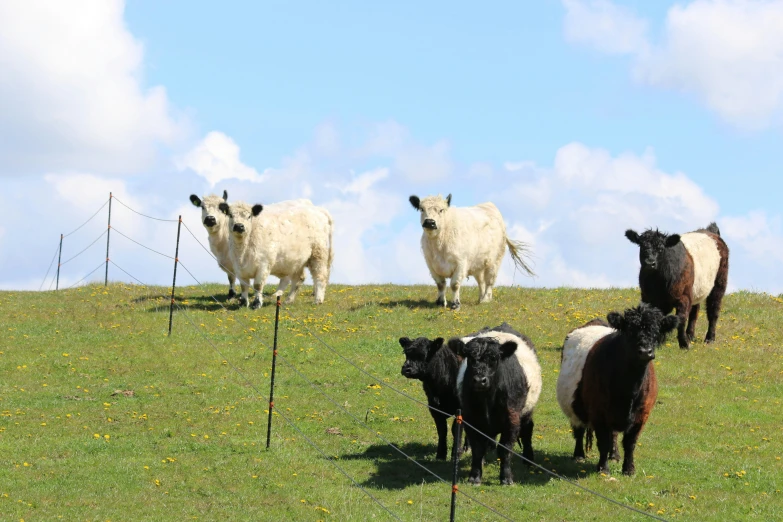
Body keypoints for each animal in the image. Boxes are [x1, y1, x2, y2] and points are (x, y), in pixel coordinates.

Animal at [450, 322, 544, 486]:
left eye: (494, 358)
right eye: (470, 358)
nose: (479, 380)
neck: (487, 400)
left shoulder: (512, 420)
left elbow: (505, 449)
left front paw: (506, 478)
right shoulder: (471, 419)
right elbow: (477, 449)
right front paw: (474, 477)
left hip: (527, 411)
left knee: (527, 430)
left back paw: (528, 459)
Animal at [556, 302, 680, 474]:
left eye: (656, 331)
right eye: (629, 331)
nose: (645, 351)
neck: (629, 389)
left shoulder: (642, 415)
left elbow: (630, 443)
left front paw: (629, 469)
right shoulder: (598, 412)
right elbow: (603, 441)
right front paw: (603, 469)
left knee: (613, 434)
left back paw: (614, 455)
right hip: (574, 404)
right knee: (579, 428)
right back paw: (579, 455)